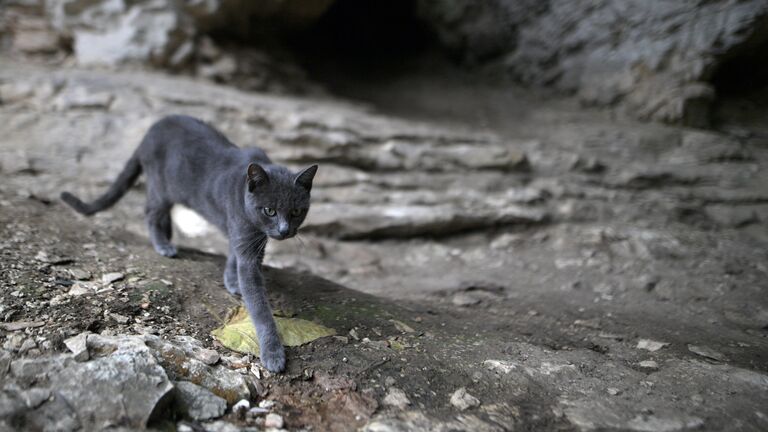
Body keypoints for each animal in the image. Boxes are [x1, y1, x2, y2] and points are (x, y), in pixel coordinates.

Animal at [59, 115, 318, 372]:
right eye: (270, 210)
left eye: (296, 212)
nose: (284, 230)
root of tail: (152, 129)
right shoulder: (245, 239)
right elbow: (259, 306)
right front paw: (273, 354)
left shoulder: (247, 238)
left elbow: (233, 254)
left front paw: (231, 280)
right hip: (162, 186)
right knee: (151, 212)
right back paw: (163, 245)